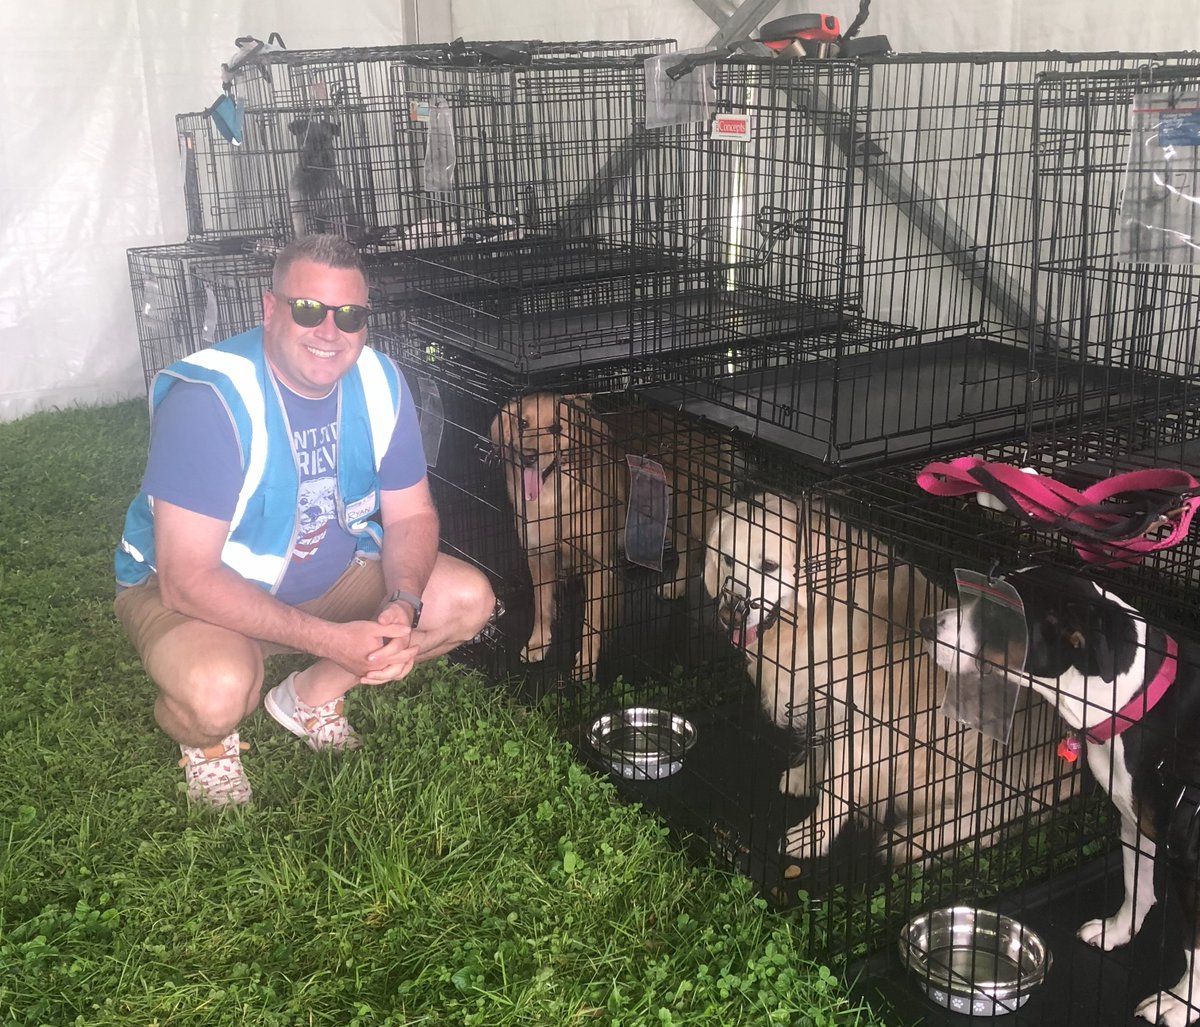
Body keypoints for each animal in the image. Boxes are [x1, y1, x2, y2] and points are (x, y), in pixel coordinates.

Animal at [700, 494, 1075, 878]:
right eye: (728, 559)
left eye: (770, 566)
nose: (732, 613)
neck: (817, 612)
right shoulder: (826, 702)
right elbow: (821, 750)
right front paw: (804, 777)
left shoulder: (863, 722)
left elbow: (838, 788)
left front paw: (811, 838)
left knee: (984, 818)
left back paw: (913, 840)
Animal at [921, 566, 1195, 1022]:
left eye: (998, 612)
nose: (926, 626)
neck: (1136, 701)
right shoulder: (1133, 820)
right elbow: (1136, 884)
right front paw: (1117, 931)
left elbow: (1194, 946)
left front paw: (1180, 1002)